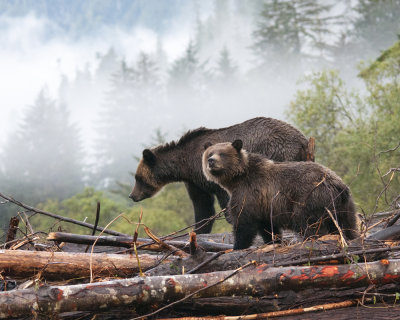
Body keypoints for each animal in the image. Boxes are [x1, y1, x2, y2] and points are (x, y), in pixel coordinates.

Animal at [129, 117, 310, 232]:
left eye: (138, 178)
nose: (132, 195)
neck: (185, 165)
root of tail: (303, 140)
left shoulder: (213, 175)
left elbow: (224, 200)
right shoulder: (196, 182)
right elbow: (202, 207)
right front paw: (199, 231)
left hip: (279, 153)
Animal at [202, 141, 360, 250]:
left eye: (222, 154)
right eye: (210, 153)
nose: (211, 161)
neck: (237, 179)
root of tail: (338, 184)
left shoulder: (248, 193)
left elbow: (243, 223)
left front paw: (238, 246)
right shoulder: (264, 205)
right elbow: (267, 228)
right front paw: (273, 241)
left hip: (310, 198)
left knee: (308, 223)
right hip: (345, 206)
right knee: (347, 225)